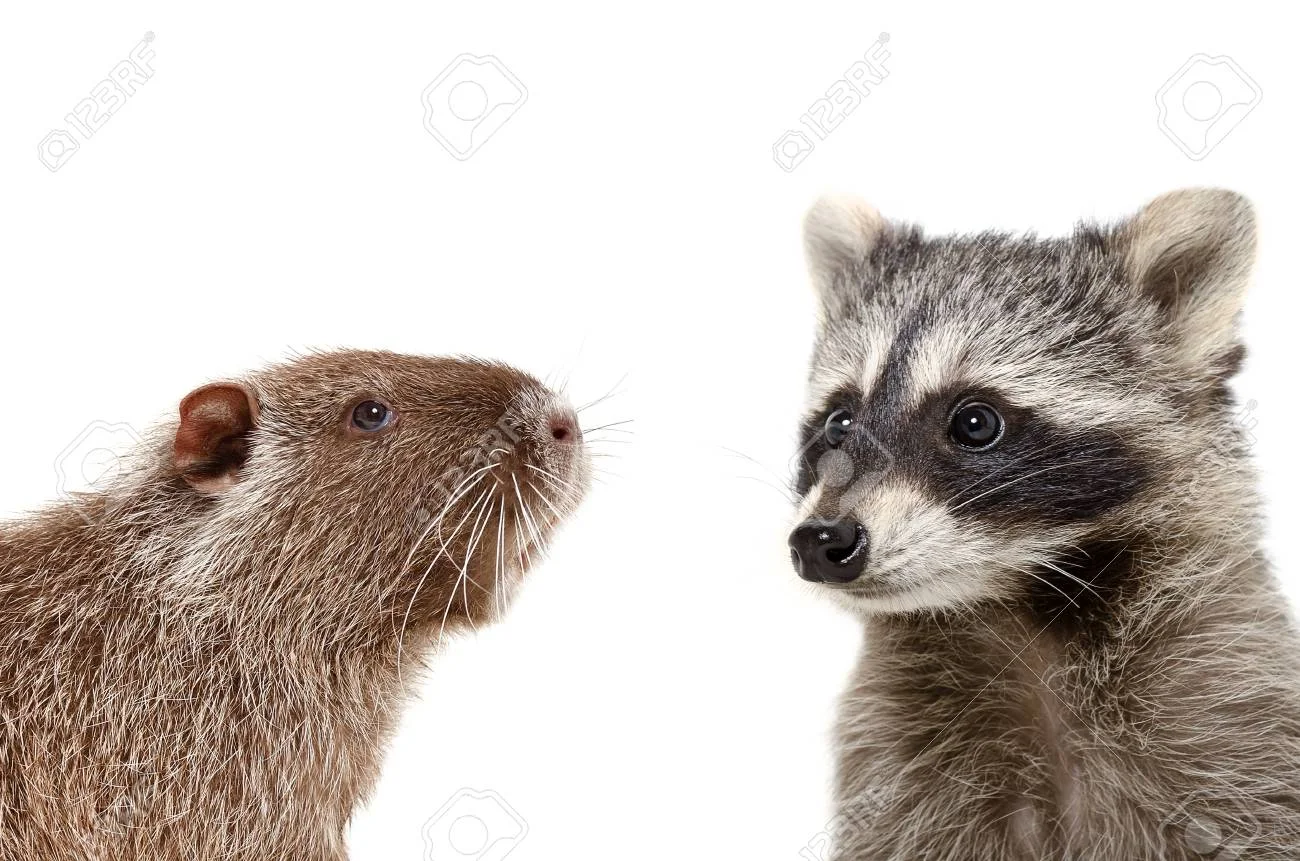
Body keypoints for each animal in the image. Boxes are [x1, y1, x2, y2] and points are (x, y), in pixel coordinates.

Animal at [789, 190, 1300, 860]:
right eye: (839, 422)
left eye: (975, 422)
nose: (822, 540)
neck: (1018, 609)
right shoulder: (895, 763)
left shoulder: (1234, 713)